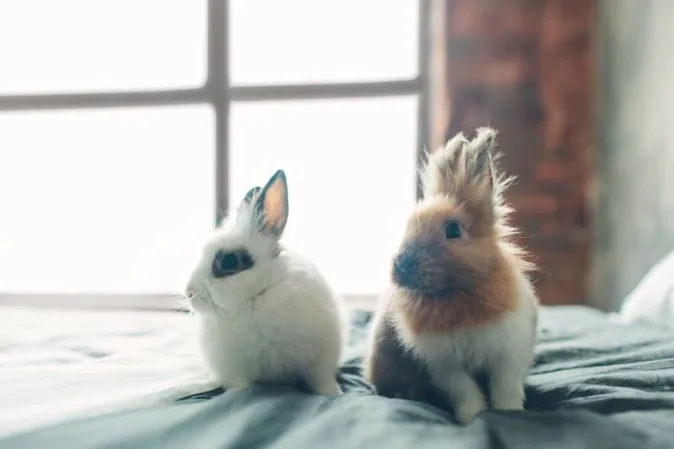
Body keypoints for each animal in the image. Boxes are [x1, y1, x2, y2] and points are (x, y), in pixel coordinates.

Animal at [185, 169, 345, 397]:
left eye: (229, 261)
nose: (189, 292)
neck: (255, 297)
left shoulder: (319, 361)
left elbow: (322, 381)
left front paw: (334, 394)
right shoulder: (234, 370)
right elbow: (241, 387)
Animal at [364, 127, 539, 424]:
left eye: (453, 230)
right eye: (409, 226)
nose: (400, 268)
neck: (456, 293)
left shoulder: (507, 355)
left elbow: (505, 388)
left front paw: (508, 412)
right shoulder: (445, 365)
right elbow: (465, 392)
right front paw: (471, 417)